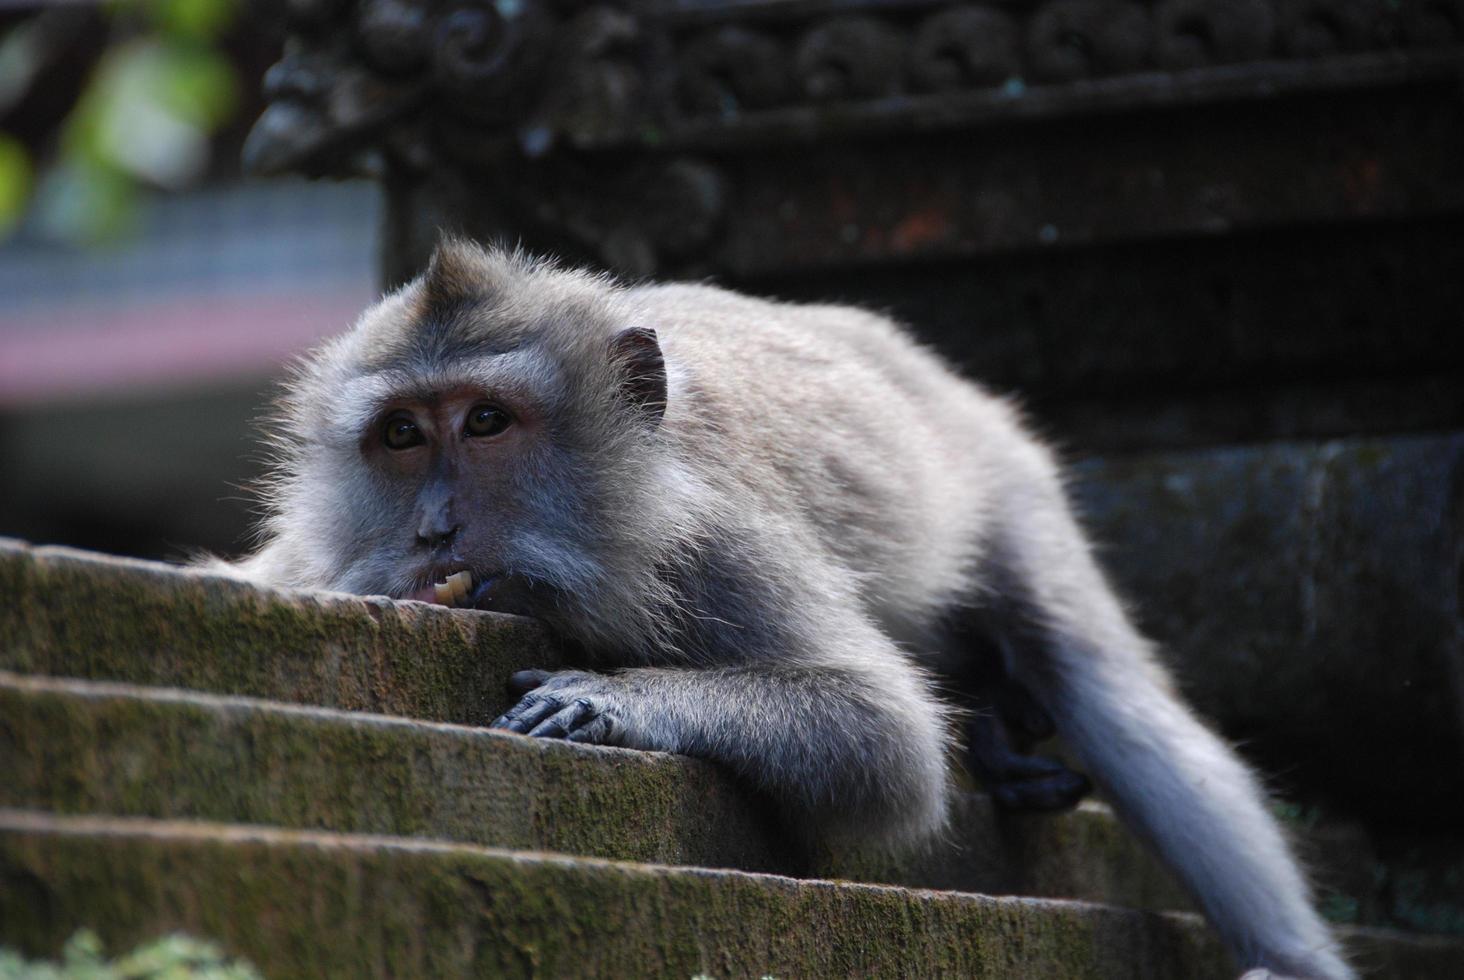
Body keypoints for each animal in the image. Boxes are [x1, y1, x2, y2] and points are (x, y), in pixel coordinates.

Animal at [225, 238, 1346, 978]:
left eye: (489, 422)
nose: (434, 529)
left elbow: (888, 738)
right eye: (401, 435)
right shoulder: (310, 564)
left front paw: (618, 701)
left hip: (1002, 469)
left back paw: (1288, 956)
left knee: (1102, 682)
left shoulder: (720, 545)